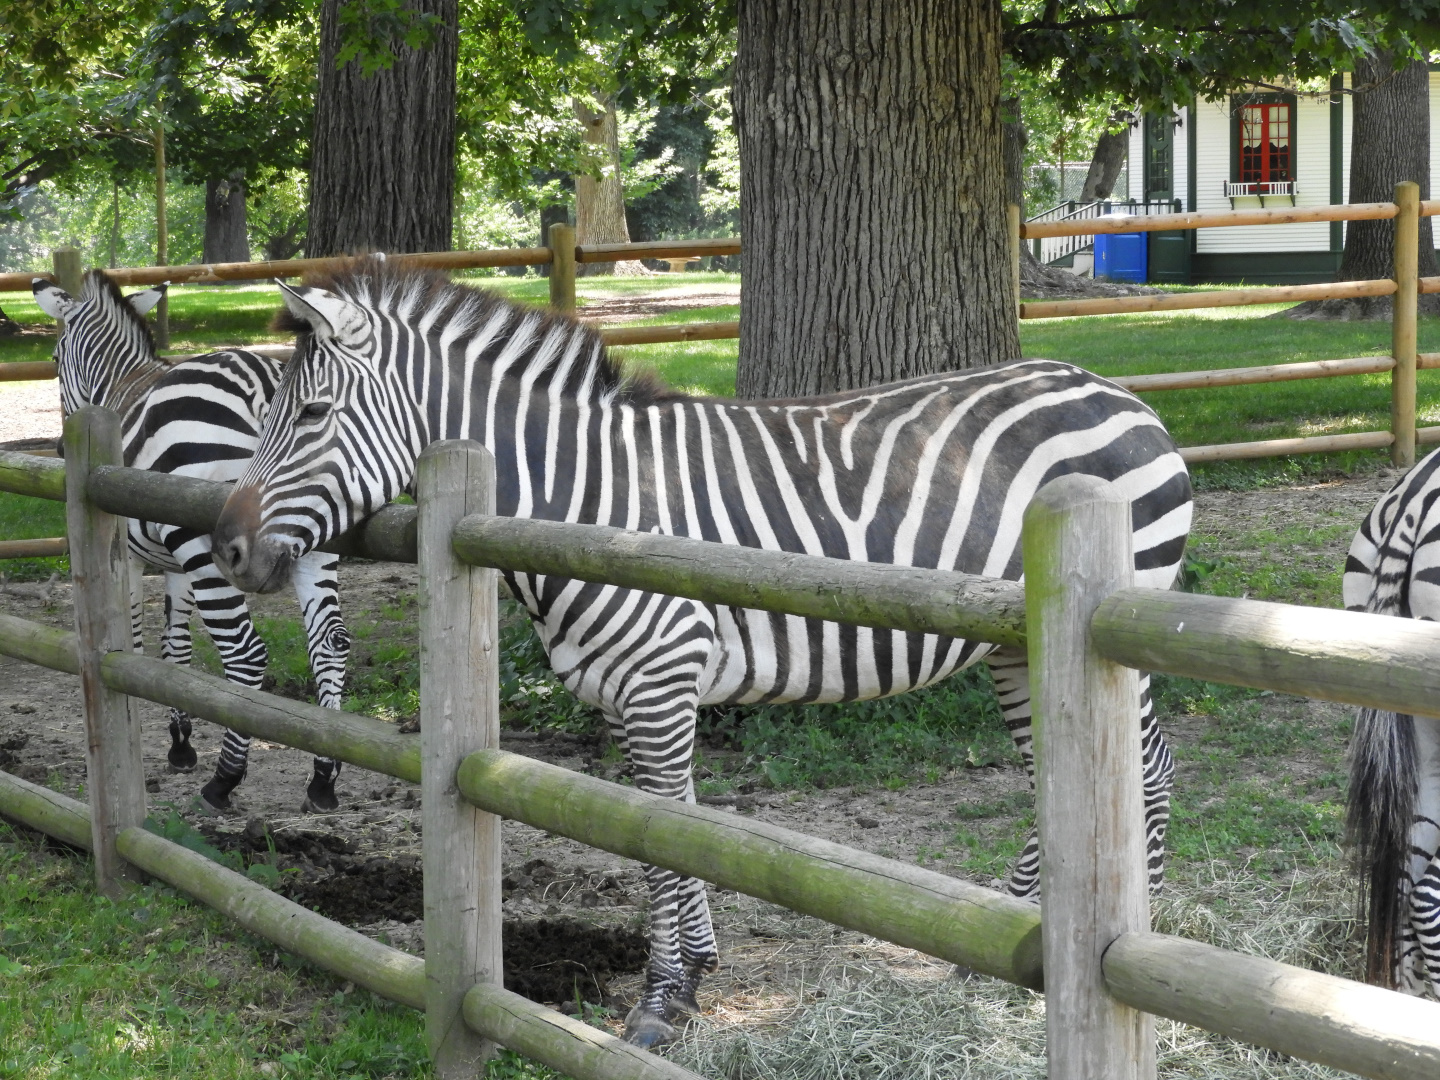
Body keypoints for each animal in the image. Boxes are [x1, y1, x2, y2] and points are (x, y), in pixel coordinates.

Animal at [31, 270, 351, 813]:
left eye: (54, 359)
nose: (56, 445)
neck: (119, 385)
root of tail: (263, 386)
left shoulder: (134, 559)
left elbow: (136, 642)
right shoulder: (174, 565)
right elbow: (175, 648)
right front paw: (180, 740)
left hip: (204, 543)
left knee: (245, 653)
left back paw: (225, 780)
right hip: (311, 534)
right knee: (330, 643)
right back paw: (323, 778)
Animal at [208, 258, 1193, 1046]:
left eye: (313, 412)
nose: (225, 550)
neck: (582, 498)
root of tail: (1111, 389)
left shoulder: (659, 681)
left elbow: (658, 841)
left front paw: (661, 1002)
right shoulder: (630, 694)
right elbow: (667, 826)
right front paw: (694, 970)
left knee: (1146, 770)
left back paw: (1128, 938)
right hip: (1019, 649)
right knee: (1059, 778)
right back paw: (1015, 934)